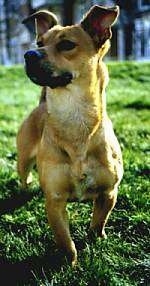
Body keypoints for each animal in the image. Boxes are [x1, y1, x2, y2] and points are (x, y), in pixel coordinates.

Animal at [17, 5, 123, 266]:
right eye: (40, 42)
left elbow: (98, 221)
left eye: (66, 45)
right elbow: (64, 239)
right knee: (24, 176)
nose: (29, 54)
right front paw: (69, 263)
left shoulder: (109, 193)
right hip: (23, 159)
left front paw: (96, 239)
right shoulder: (55, 202)